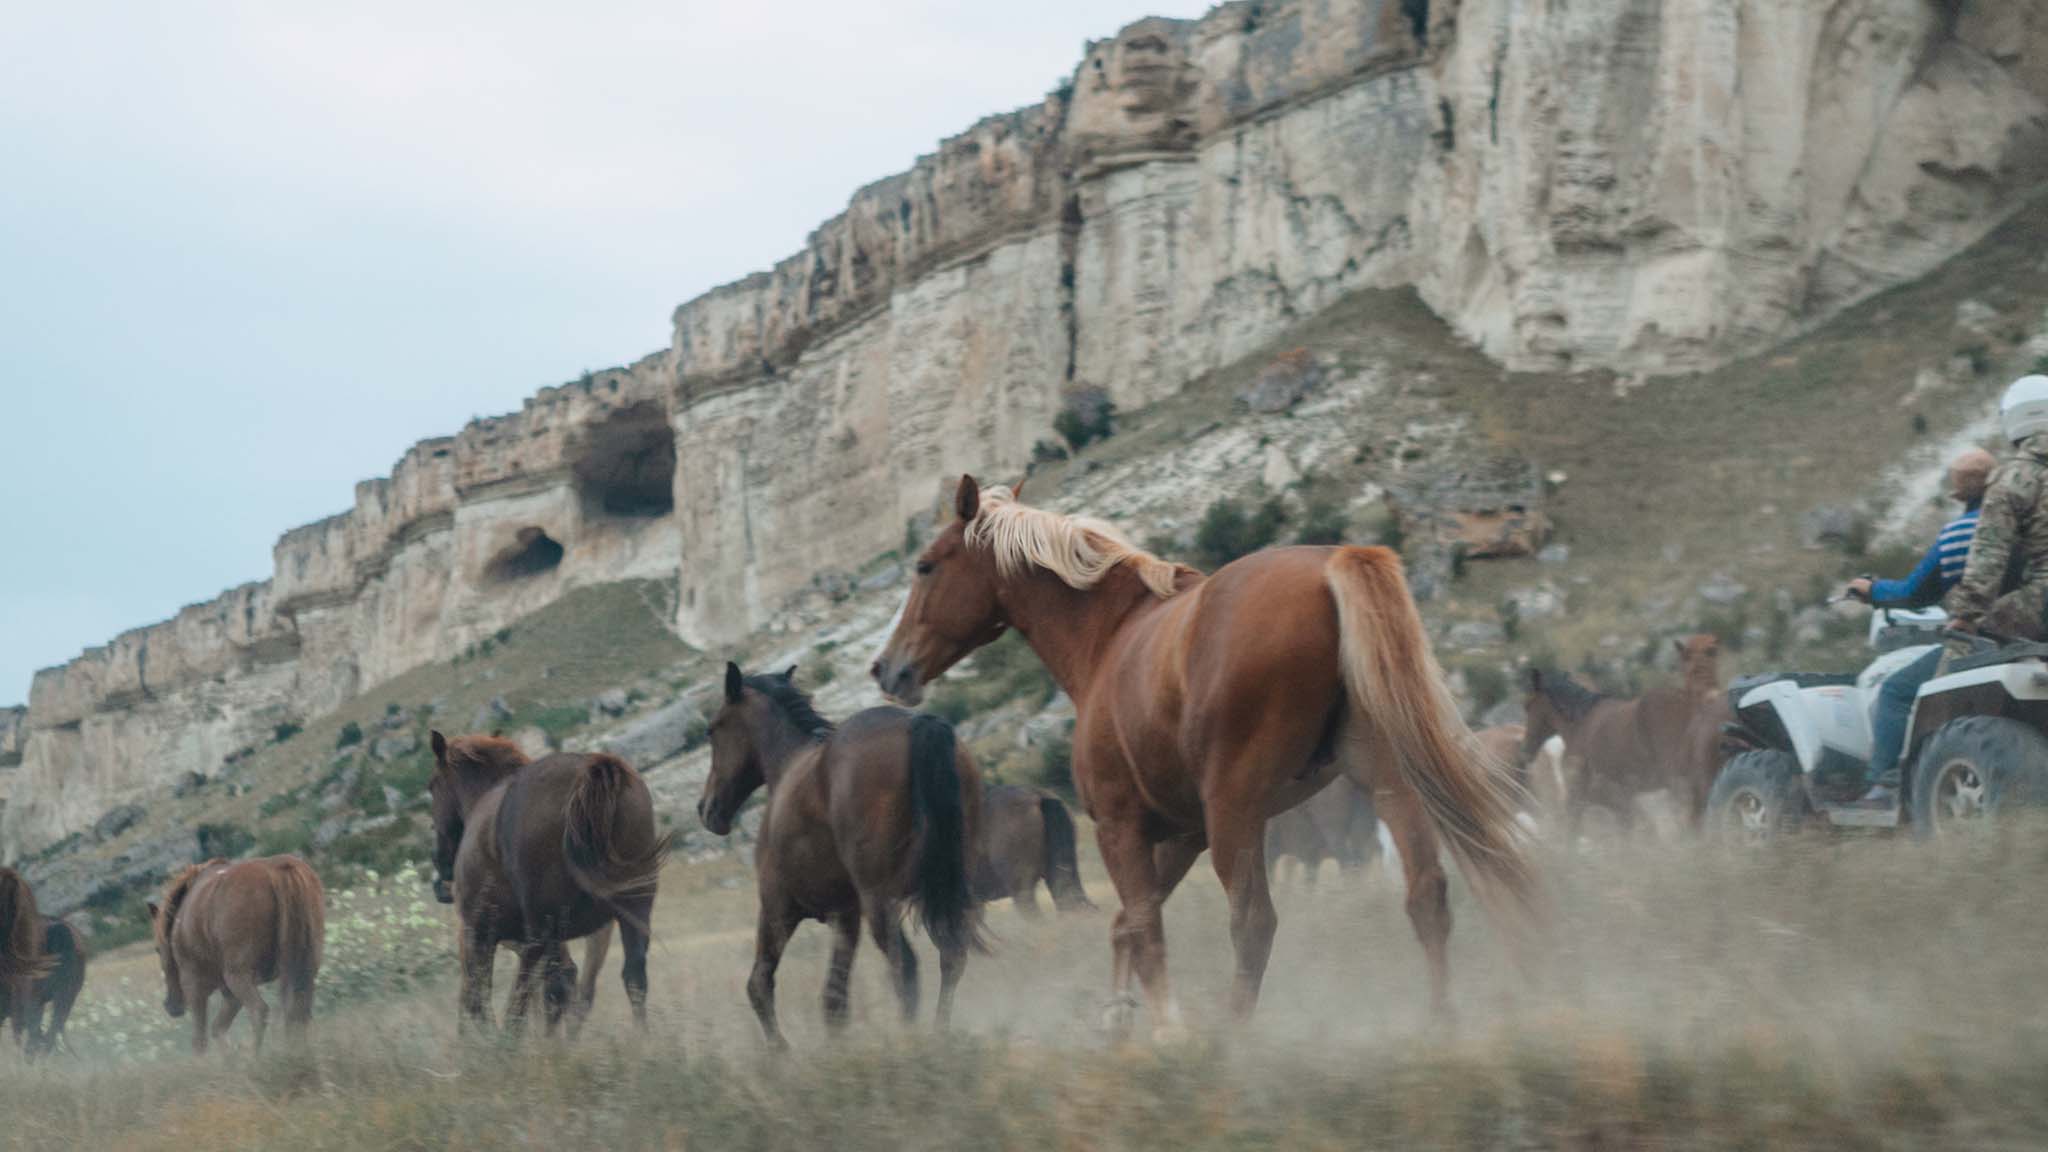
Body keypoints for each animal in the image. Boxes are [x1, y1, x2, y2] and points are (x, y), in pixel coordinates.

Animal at [147, 856, 325, 1055]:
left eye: (157, 948)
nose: (171, 1006)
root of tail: (279, 869)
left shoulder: (195, 986)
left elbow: (200, 1041)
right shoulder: (229, 994)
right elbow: (218, 1029)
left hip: (238, 976)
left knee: (259, 1011)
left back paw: (256, 1058)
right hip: (306, 967)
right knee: (299, 1011)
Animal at [428, 732, 667, 1037]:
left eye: (432, 786)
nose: (440, 867)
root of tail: (590, 772)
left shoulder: (478, 933)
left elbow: (477, 999)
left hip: (542, 929)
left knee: (529, 995)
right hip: (634, 908)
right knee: (631, 977)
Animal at [698, 664, 982, 1046]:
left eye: (712, 730)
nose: (706, 809)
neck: (788, 767)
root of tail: (919, 725)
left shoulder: (778, 908)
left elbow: (759, 985)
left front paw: (780, 1051)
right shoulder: (845, 916)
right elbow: (834, 1000)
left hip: (880, 902)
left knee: (905, 967)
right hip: (941, 891)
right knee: (951, 957)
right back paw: (939, 1035)